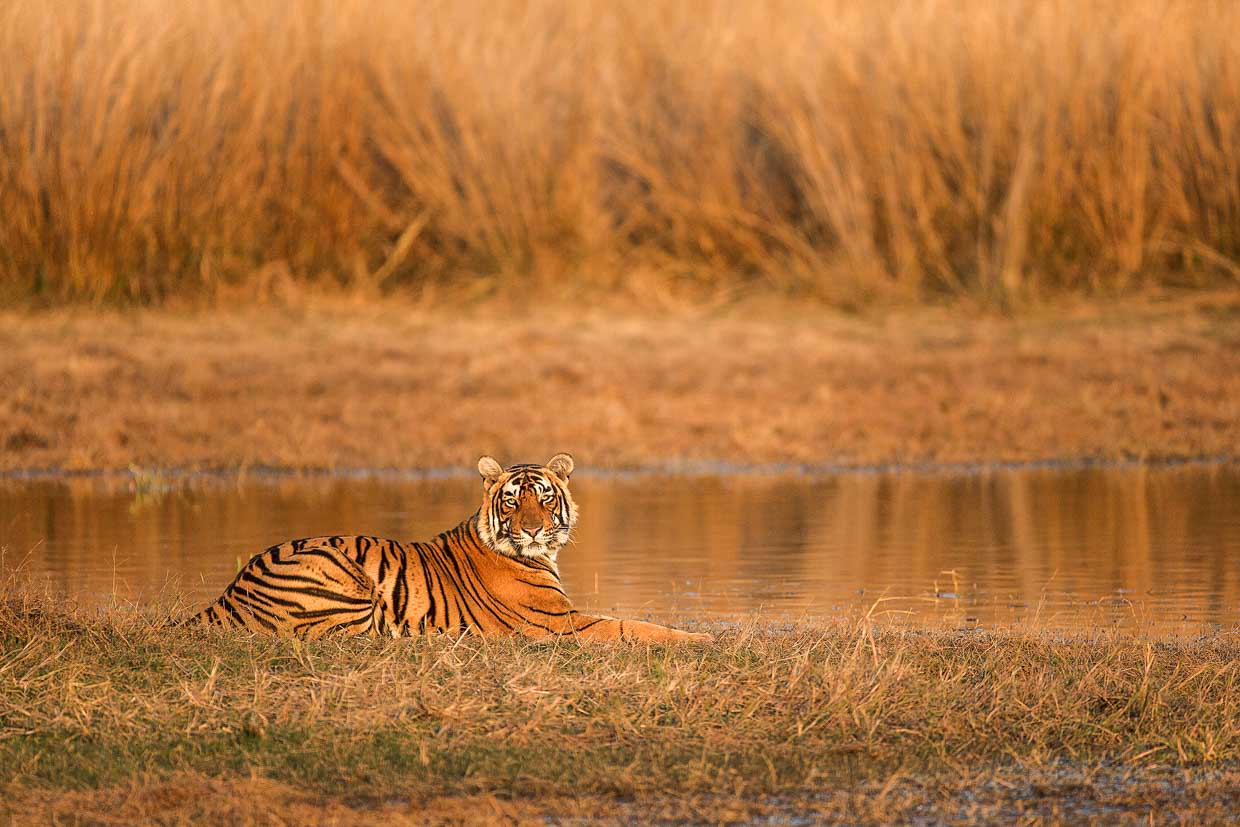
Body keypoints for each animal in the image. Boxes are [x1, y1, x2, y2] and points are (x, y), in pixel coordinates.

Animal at [179, 456, 714, 644]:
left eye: (544, 498)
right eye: (513, 500)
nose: (533, 531)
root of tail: (228, 593)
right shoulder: (560, 623)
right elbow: (630, 625)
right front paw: (701, 640)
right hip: (342, 577)